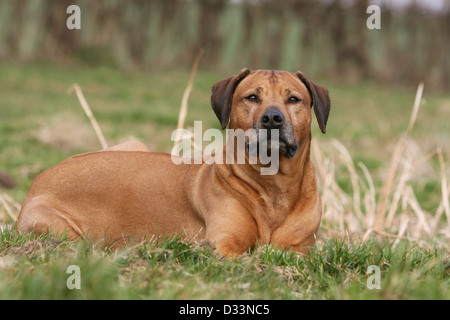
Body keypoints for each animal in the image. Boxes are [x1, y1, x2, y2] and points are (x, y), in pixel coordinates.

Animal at [15, 70, 330, 258]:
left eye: (293, 99)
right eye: (252, 97)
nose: (273, 119)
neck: (273, 185)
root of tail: (36, 181)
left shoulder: (302, 250)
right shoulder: (222, 244)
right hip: (63, 231)